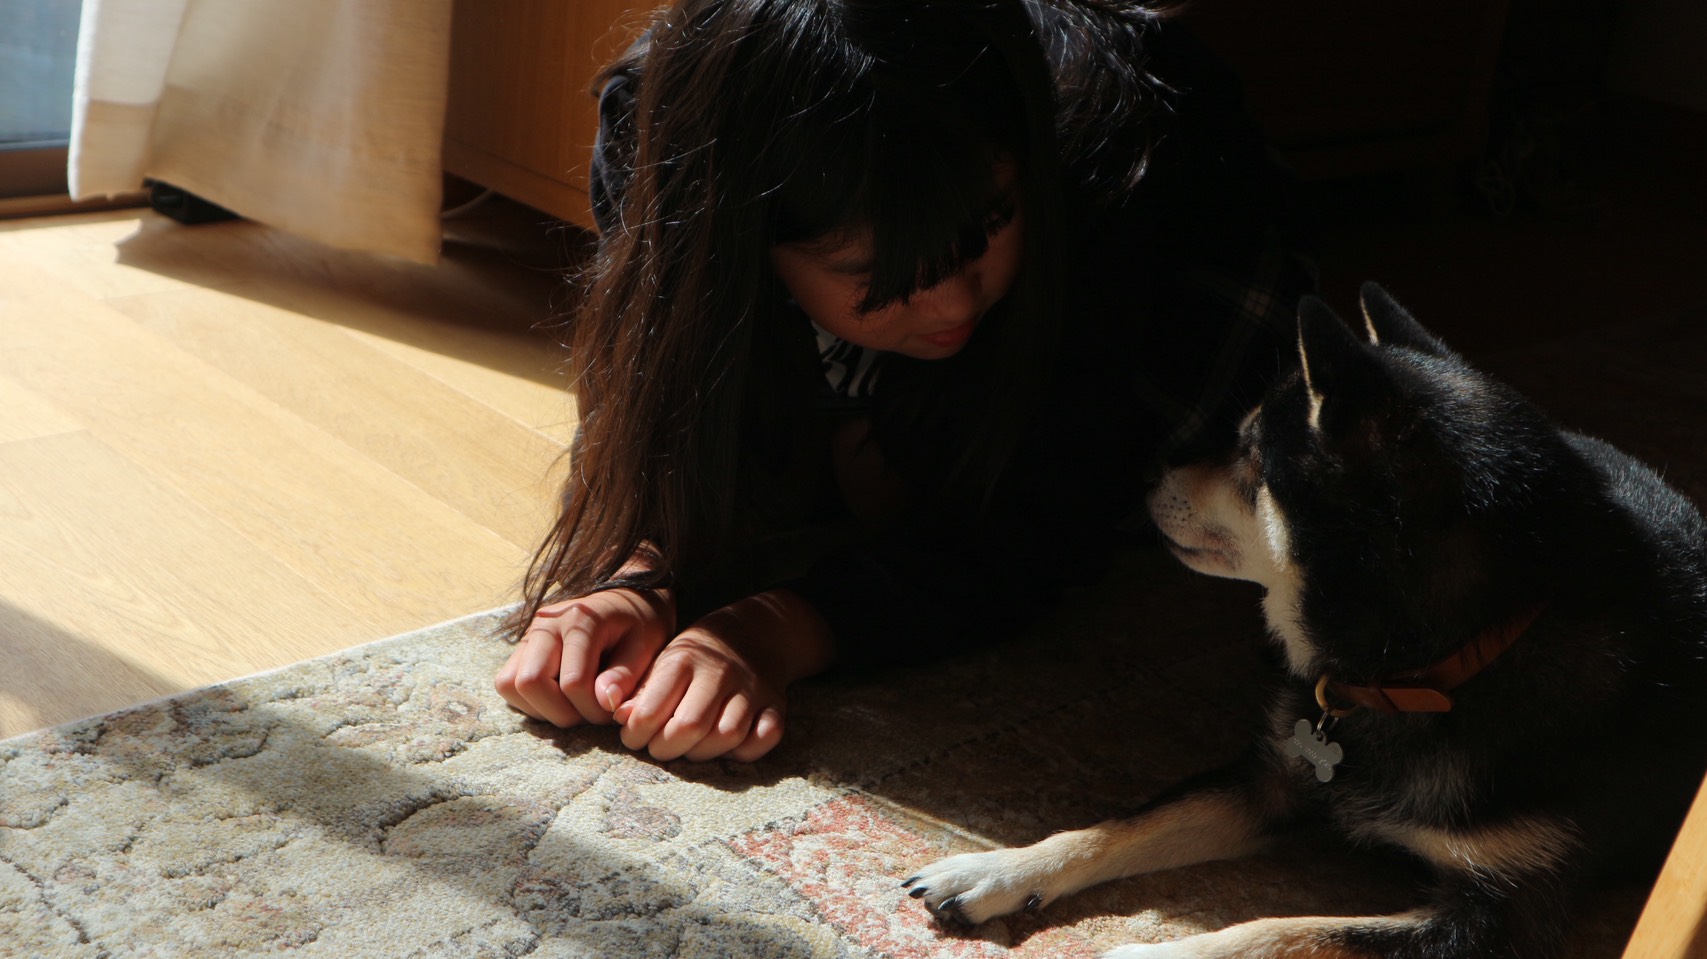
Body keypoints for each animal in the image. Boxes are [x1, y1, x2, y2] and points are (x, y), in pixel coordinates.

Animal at [903, 283, 1707, 958]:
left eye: (1250, 454)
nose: (1148, 471)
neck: (1423, 673)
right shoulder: (1273, 779)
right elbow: (1127, 823)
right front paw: (999, 866)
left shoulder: (1497, 916)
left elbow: (1290, 929)